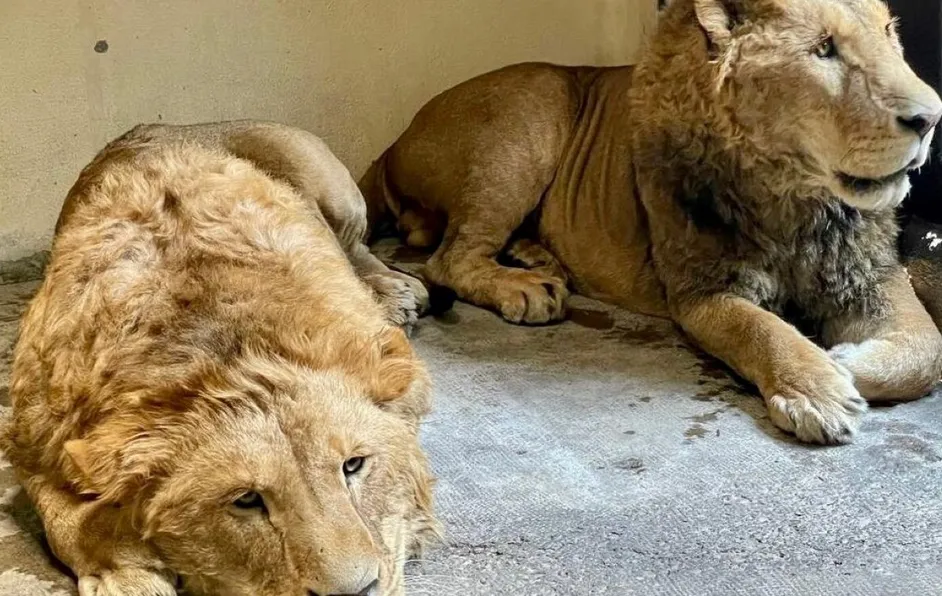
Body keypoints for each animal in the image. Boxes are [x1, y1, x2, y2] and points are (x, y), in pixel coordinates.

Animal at [3, 121, 440, 595]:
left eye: (354, 465)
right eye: (246, 500)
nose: (356, 591)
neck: (228, 353)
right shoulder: (31, 443)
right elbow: (68, 523)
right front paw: (130, 576)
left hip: (334, 193)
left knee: (360, 248)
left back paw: (399, 294)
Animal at [361, 0, 942, 445]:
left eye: (890, 33)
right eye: (824, 48)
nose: (931, 117)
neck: (795, 198)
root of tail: (393, 142)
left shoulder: (872, 275)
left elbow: (925, 351)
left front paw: (844, 360)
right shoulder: (701, 291)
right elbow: (762, 330)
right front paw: (819, 385)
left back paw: (541, 259)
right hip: (532, 110)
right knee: (449, 258)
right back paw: (526, 289)